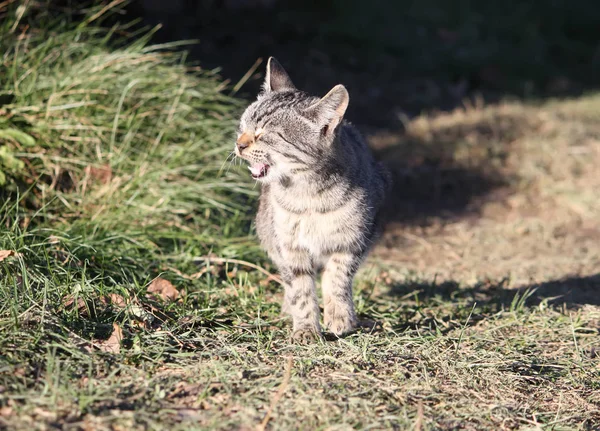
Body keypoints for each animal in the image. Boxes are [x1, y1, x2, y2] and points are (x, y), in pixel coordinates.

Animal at [234, 57, 390, 342]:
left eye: (264, 134)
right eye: (244, 127)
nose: (239, 144)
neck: (309, 196)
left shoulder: (353, 241)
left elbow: (337, 278)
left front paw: (339, 316)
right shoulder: (288, 246)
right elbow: (300, 289)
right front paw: (306, 328)